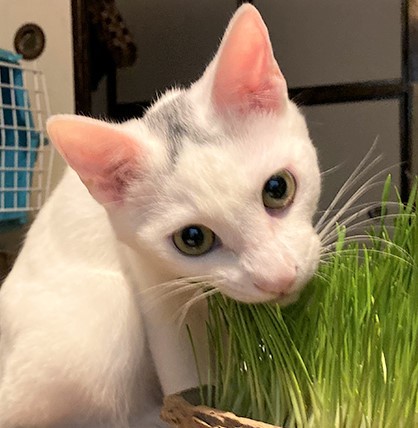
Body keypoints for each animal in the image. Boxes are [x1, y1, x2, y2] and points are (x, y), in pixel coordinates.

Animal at [0, 4, 321, 427]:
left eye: (278, 188)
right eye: (192, 239)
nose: (278, 278)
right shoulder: (152, 280)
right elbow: (184, 367)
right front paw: (197, 406)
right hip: (103, 315)